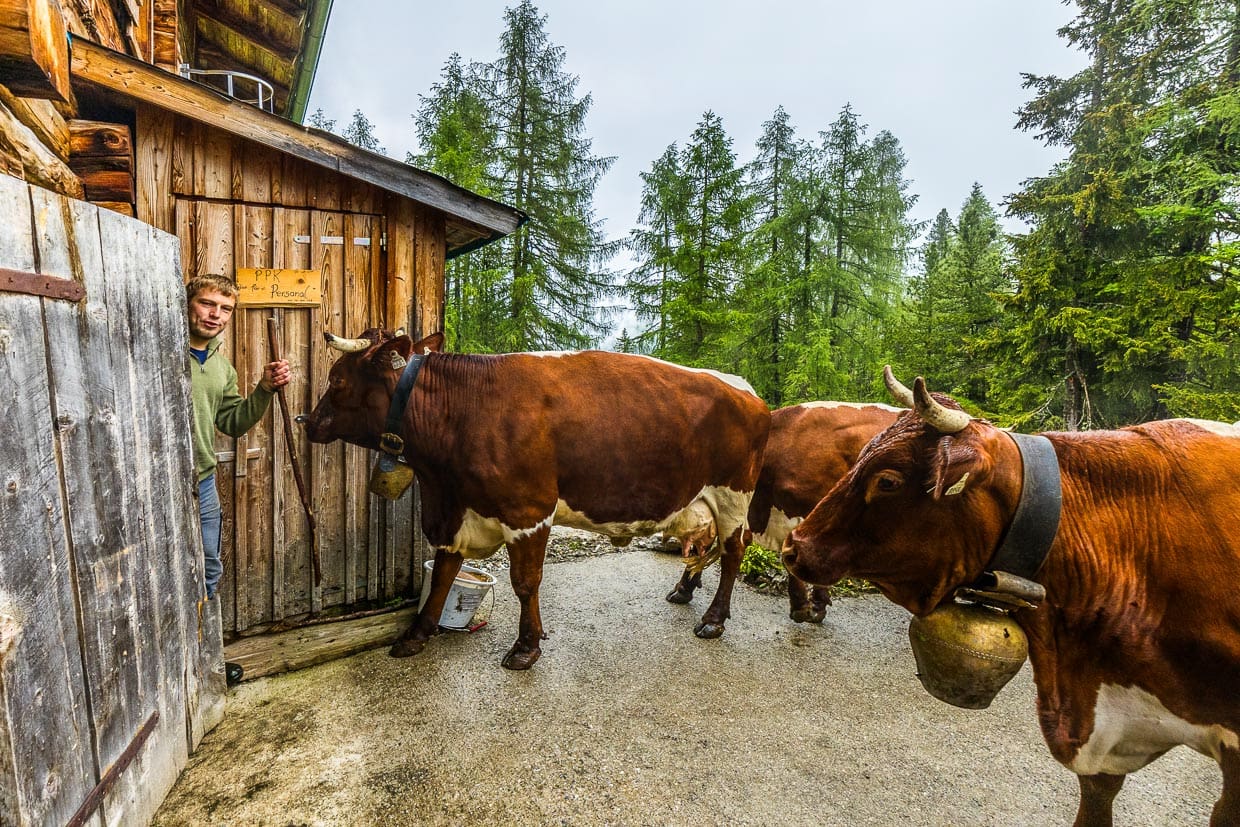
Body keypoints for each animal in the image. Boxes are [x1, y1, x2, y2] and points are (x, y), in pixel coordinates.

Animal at [301, 329, 770, 670]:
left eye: (337, 380)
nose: (307, 420)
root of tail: (749, 391)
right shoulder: (454, 512)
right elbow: (444, 574)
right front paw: (416, 635)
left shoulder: (528, 511)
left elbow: (525, 583)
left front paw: (526, 647)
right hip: (702, 501)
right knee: (704, 546)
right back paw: (684, 590)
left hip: (733, 497)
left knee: (733, 552)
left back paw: (713, 620)